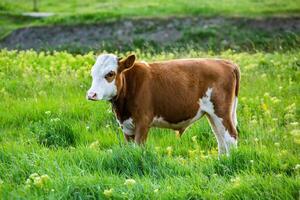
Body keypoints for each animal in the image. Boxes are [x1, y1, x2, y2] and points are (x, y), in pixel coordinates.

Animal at [86, 54, 239, 155]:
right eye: (92, 73)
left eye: (110, 73)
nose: (91, 94)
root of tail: (226, 63)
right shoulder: (126, 126)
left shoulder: (143, 122)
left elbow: (139, 147)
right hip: (212, 114)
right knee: (220, 138)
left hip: (221, 111)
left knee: (230, 137)